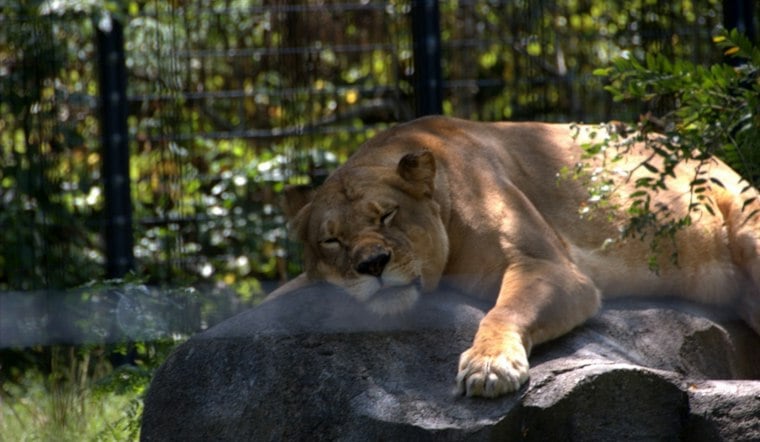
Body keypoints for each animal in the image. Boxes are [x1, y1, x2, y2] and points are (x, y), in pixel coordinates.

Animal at [266, 116, 760, 398]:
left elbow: (503, 312)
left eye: (387, 215)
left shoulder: (546, 265)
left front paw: (489, 365)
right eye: (332, 241)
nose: (372, 264)